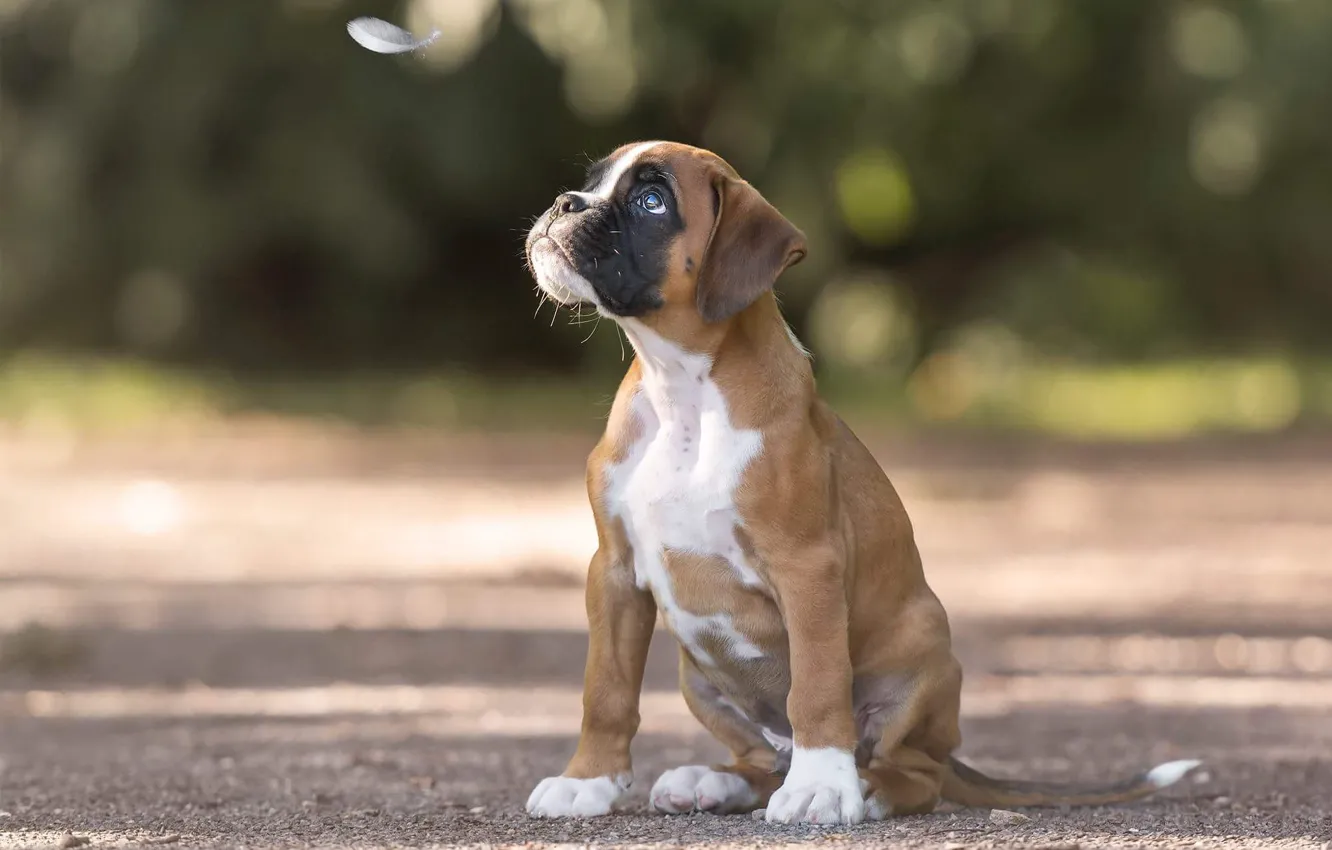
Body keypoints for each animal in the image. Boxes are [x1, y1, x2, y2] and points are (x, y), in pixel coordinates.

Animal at [516, 141, 1198, 826]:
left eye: (652, 201)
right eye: (591, 181)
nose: (563, 203)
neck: (682, 391)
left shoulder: (807, 569)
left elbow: (818, 687)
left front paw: (823, 785)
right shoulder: (614, 573)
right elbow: (606, 689)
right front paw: (587, 781)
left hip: (921, 655)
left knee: (913, 772)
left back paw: (862, 789)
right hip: (700, 679)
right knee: (766, 759)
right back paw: (715, 781)